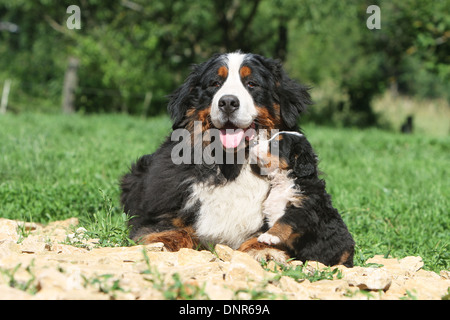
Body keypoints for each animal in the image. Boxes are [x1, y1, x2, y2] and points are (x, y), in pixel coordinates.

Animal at [120, 52, 356, 268]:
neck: (232, 165)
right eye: (215, 83)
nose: (228, 102)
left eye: (252, 83)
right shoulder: (159, 211)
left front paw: (265, 251)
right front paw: (163, 243)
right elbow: (173, 228)